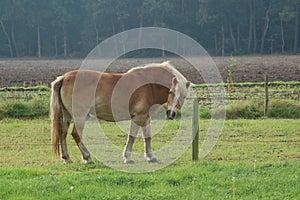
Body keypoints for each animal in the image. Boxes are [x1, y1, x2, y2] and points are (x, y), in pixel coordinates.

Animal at [49, 61, 190, 164]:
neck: (149, 85)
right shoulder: (137, 117)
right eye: (171, 92)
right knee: (76, 134)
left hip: (67, 115)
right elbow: (132, 136)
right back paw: (87, 157)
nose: (171, 113)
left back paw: (66, 157)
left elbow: (147, 137)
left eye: (183, 96)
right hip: (80, 116)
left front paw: (151, 157)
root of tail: (65, 77)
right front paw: (128, 158)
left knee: (62, 133)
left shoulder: (145, 117)